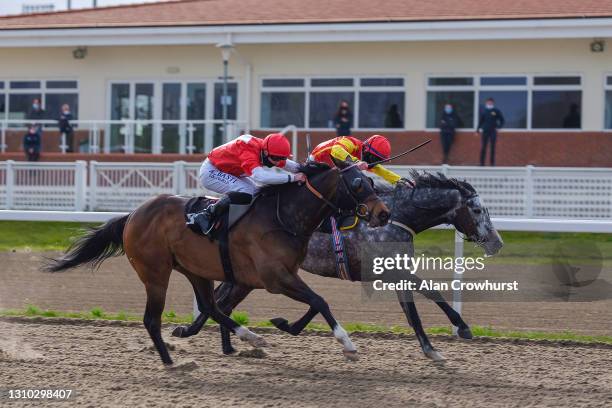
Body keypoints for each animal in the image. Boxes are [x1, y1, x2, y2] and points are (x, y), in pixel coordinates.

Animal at [47, 159, 392, 364]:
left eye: (371, 181)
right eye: (358, 184)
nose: (383, 213)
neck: (282, 216)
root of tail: (132, 215)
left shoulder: (276, 276)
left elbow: (315, 303)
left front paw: (285, 324)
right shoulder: (275, 278)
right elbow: (320, 301)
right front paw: (347, 343)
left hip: (194, 269)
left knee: (211, 306)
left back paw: (248, 336)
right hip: (155, 273)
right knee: (152, 319)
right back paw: (171, 361)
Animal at [172, 171, 502, 362]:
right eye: (476, 210)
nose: (496, 242)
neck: (397, 216)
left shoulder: (395, 270)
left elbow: (420, 302)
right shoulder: (391, 271)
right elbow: (425, 297)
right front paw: (451, 335)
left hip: (247, 277)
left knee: (223, 302)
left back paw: (220, 342)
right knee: (221, 301)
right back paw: (196, 332)